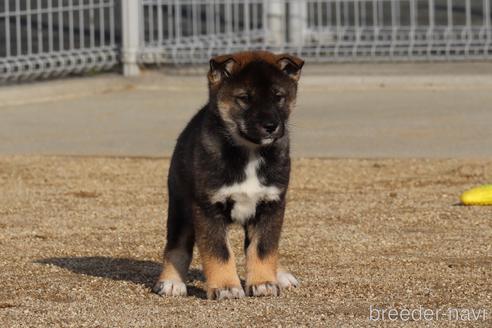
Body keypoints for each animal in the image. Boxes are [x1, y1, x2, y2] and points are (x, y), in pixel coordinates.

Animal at [153, 50, 304, 300]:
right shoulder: (207, 207)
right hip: (180, 205)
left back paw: (280, 274)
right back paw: (171, 282)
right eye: (244, 98)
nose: (271, 126)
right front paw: (226, 287)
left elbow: (264, 249)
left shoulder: (272, 205)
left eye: (278, 97)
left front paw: (264, 282)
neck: (249, 153)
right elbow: (219, 252)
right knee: (177, 246)